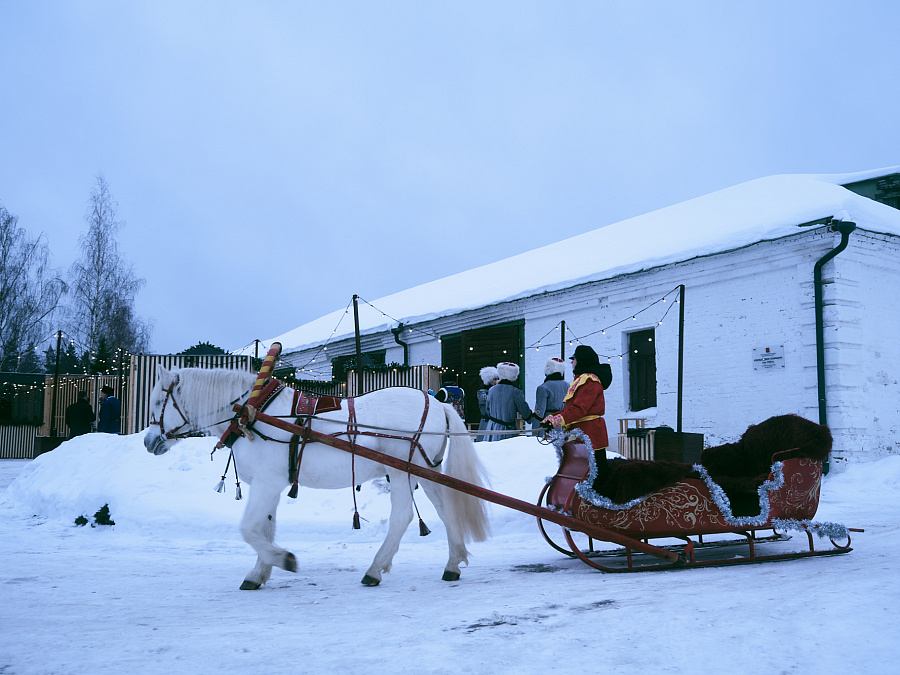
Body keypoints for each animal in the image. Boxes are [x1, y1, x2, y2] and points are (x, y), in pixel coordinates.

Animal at [145, 364, 492, 592]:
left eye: (158, 402)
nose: (148, 441)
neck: (253, 412)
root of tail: (438, 402)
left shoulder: (267, 483)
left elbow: (249, 529)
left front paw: (283, 560)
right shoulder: (270, 486)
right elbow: (265, 528)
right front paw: (260, 572)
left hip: (400, 470)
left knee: (403, 516)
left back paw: (374, 569)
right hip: (427, 470)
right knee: (446, 510)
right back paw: (453, 563)